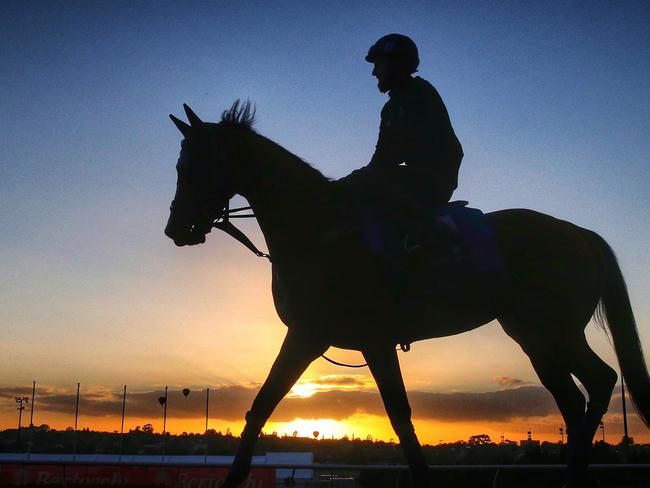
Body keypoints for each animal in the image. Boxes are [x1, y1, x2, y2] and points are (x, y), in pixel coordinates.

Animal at [165, 101, 644, 486]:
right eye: (178, 165)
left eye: (198, 164)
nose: (176, 229)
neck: (319, 230)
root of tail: (579, 233)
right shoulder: (307, 335)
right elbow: (262, 405)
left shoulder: (368, 341)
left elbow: (399, 415)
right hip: (534, 336)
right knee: (574, 398)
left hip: (554, 331)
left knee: (599, 381)